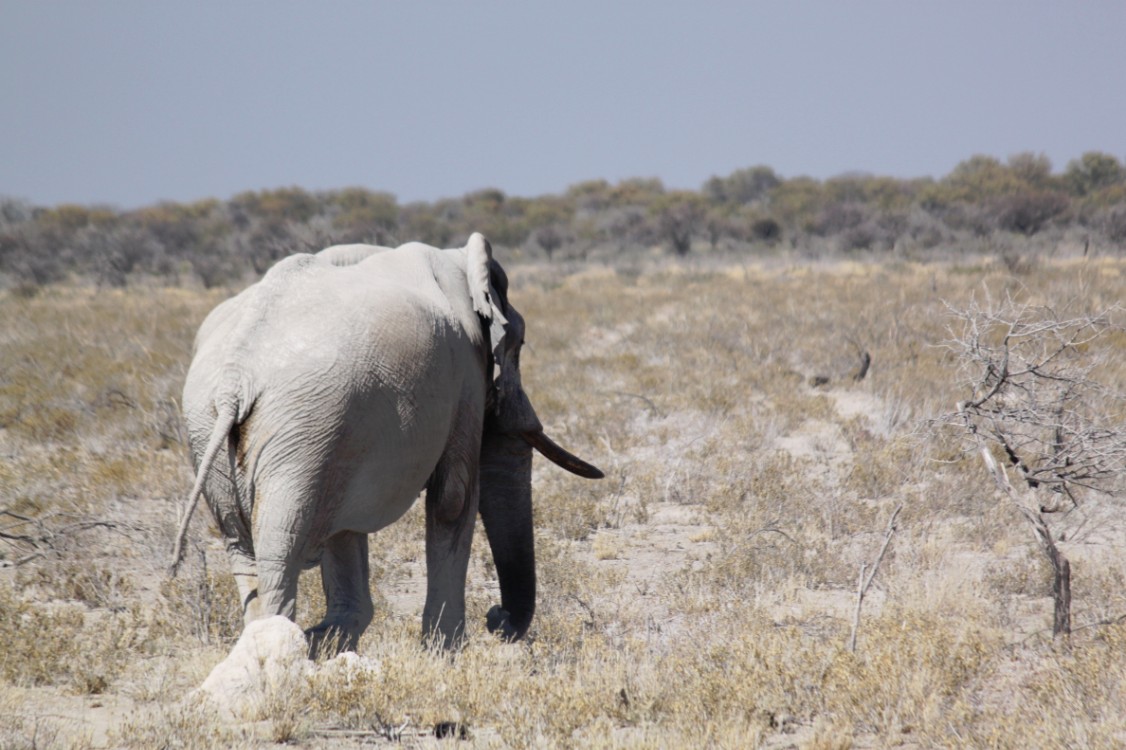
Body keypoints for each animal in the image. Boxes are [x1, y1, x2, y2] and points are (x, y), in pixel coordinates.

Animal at [171, 231, 603, 648]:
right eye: (521, 344)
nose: (496, 619)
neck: (458, 260)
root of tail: (236, 377)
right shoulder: (464, 375)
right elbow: (454, 499)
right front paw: (442, 653)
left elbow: (348, 528)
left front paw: (327, 638)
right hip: (299, 427)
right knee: (282, 546)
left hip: (232, 429)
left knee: (245, 546)